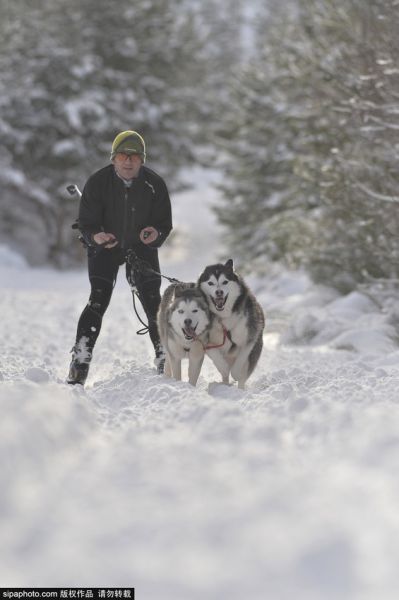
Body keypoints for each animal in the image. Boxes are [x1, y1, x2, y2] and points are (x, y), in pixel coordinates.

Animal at [198, 258, 264, 390]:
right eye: (210, 283)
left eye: (225, 282)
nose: (219, 292)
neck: (224, 317)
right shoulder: (204, 340)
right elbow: (217, 359)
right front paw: (224, 369)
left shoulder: (250, 338)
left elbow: (240, 361)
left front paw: (236, 374)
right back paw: (225, 385)